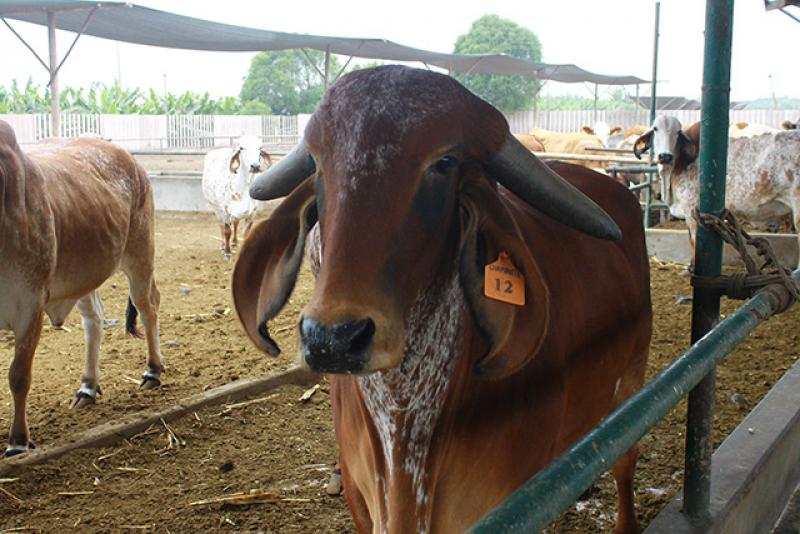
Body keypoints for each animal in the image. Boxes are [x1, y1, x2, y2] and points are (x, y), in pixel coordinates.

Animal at [0, 123, 162, 458]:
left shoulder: (30, 304)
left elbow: (18, 375)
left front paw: (17, 442)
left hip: (140, 252)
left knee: (147, 306)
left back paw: (153, 371)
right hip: (86, 272)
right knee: (94, 320)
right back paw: (88, 386)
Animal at [231, 67, 648, 534]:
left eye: (444, 163)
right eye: (319, 163)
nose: (333, 339)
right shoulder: (362, 502)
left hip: (633, 373)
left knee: (625, 456)